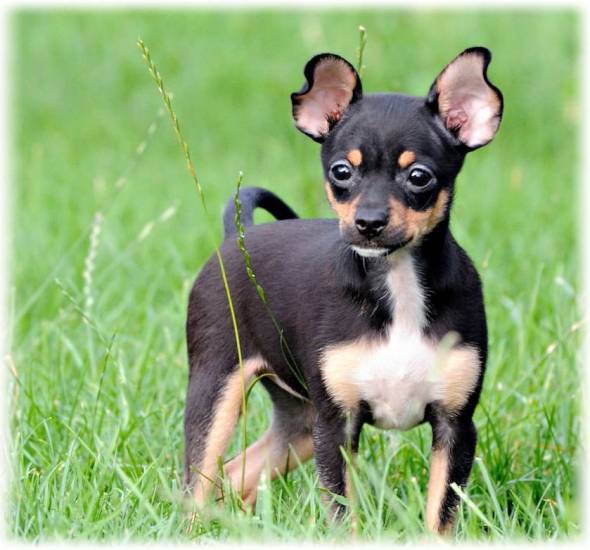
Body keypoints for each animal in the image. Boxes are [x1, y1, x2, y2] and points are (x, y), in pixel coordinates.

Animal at [184, 47, 503, 535]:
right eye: (341, 172)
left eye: (419, 177)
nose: (368, 222)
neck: (397, 285)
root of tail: (238, 237)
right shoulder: (337, 425)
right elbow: (341, 515)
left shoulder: (455, 426)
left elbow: (440, 517)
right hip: (218, 389)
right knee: (196, 484)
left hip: (300, 423)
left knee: (236, 474)